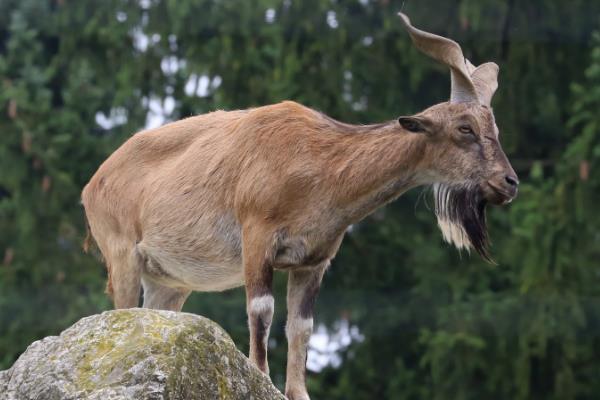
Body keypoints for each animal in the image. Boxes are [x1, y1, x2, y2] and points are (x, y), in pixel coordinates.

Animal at [82, 14, 516, 398]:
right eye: (465, 128)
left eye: (495, 129)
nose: (509, 182)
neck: (320, 165)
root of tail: (94, 182)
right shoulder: (257, 237)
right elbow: (261, 311)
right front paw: (259, 376)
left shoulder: (314, 260)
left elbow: (301, 326)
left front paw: (297, 391)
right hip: (123, 255)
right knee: (121, 310)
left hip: (169, 282)